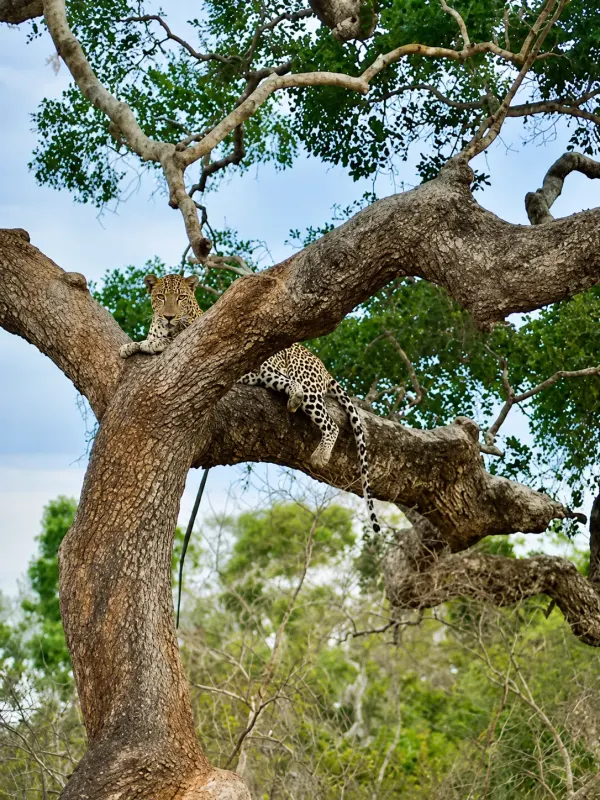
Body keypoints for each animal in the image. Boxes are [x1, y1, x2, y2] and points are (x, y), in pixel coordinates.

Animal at [120, 273, 381, 534]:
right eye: (160, 297)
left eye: (181, 298)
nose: (168, 316)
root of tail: (323, 367)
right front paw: (129, 346)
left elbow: (165, 341)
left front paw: (149, 343)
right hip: (269, 373)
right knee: (288, 386)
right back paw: (292, 400)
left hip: (294, 376)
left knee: (329, 422)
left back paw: (321, 453)